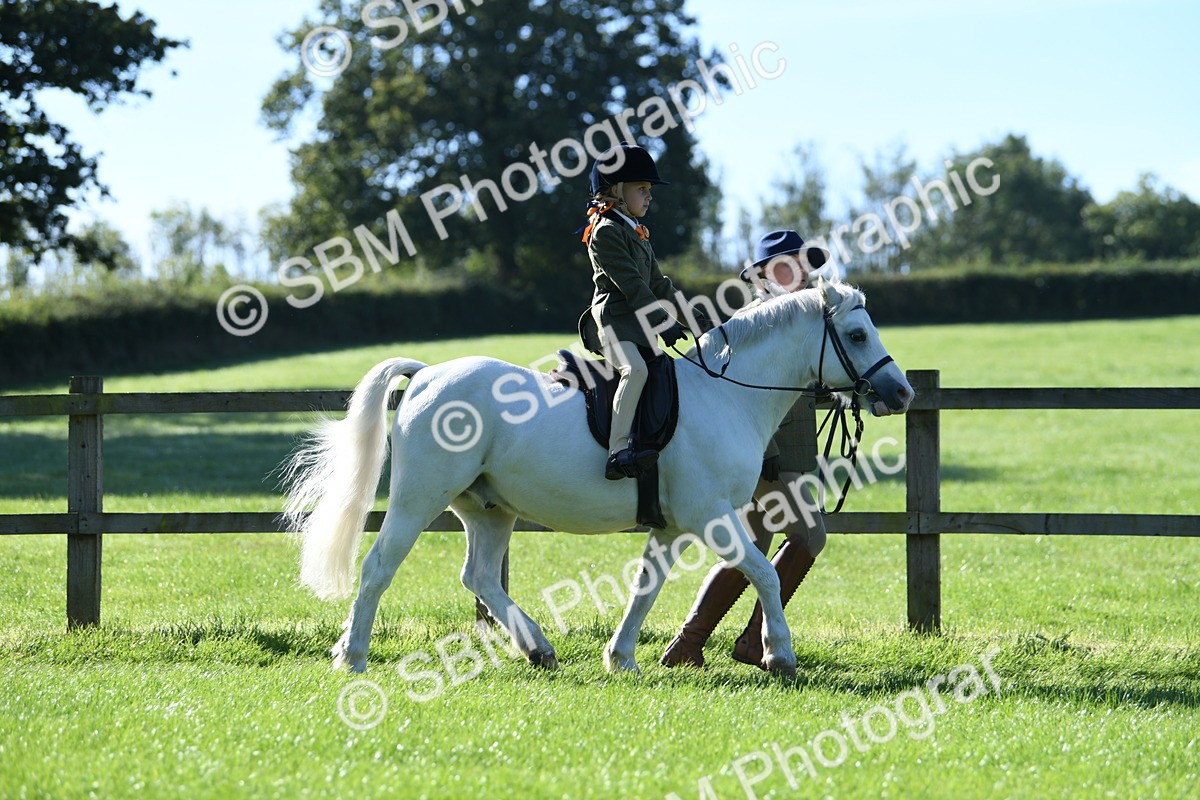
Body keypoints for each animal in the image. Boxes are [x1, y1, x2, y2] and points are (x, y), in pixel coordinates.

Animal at [282, 279, 914, 675]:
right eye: (859, 334)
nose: (901, 393)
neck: (727, 394)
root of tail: (427, 375)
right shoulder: (711, 515)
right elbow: (763, 573)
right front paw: (780, 655)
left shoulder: (672, 526)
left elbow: (647, 587)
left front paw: (622, 656)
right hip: (419, 499)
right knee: (379, 568)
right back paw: (352, 656)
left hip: (488, 509)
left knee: (479, 577)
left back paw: (538, 648)